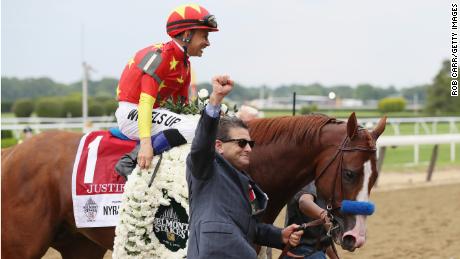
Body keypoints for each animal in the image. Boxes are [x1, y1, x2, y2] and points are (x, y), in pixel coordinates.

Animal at [1, 112, 386, 258]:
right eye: (350, 173)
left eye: (375, 176)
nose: (355, 237)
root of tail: (13, 152)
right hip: (22, 245)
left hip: (79, 244)